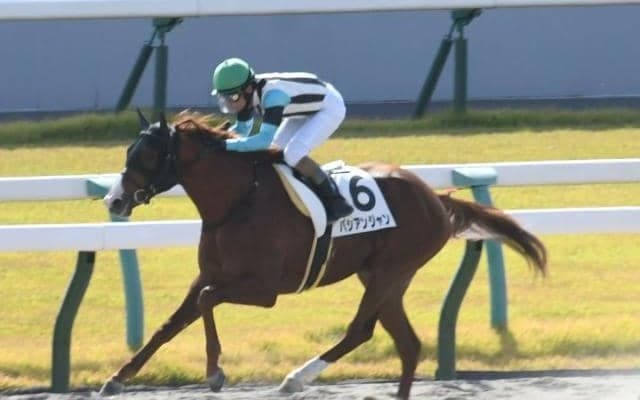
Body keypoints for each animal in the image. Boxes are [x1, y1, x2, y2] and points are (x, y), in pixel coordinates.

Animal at [100, 110, 547, 399]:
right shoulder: (209, 274)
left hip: (391, 270)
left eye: (147, 155)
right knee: (407, 344)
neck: (238, 201)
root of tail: (436, 198)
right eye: (127, 152)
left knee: (360, 330)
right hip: (384, 276)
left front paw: (214, 372)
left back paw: (297, 378)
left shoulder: (264, 289)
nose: (114, 200)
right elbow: (169, 325)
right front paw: (117, 379)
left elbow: (208, 301)